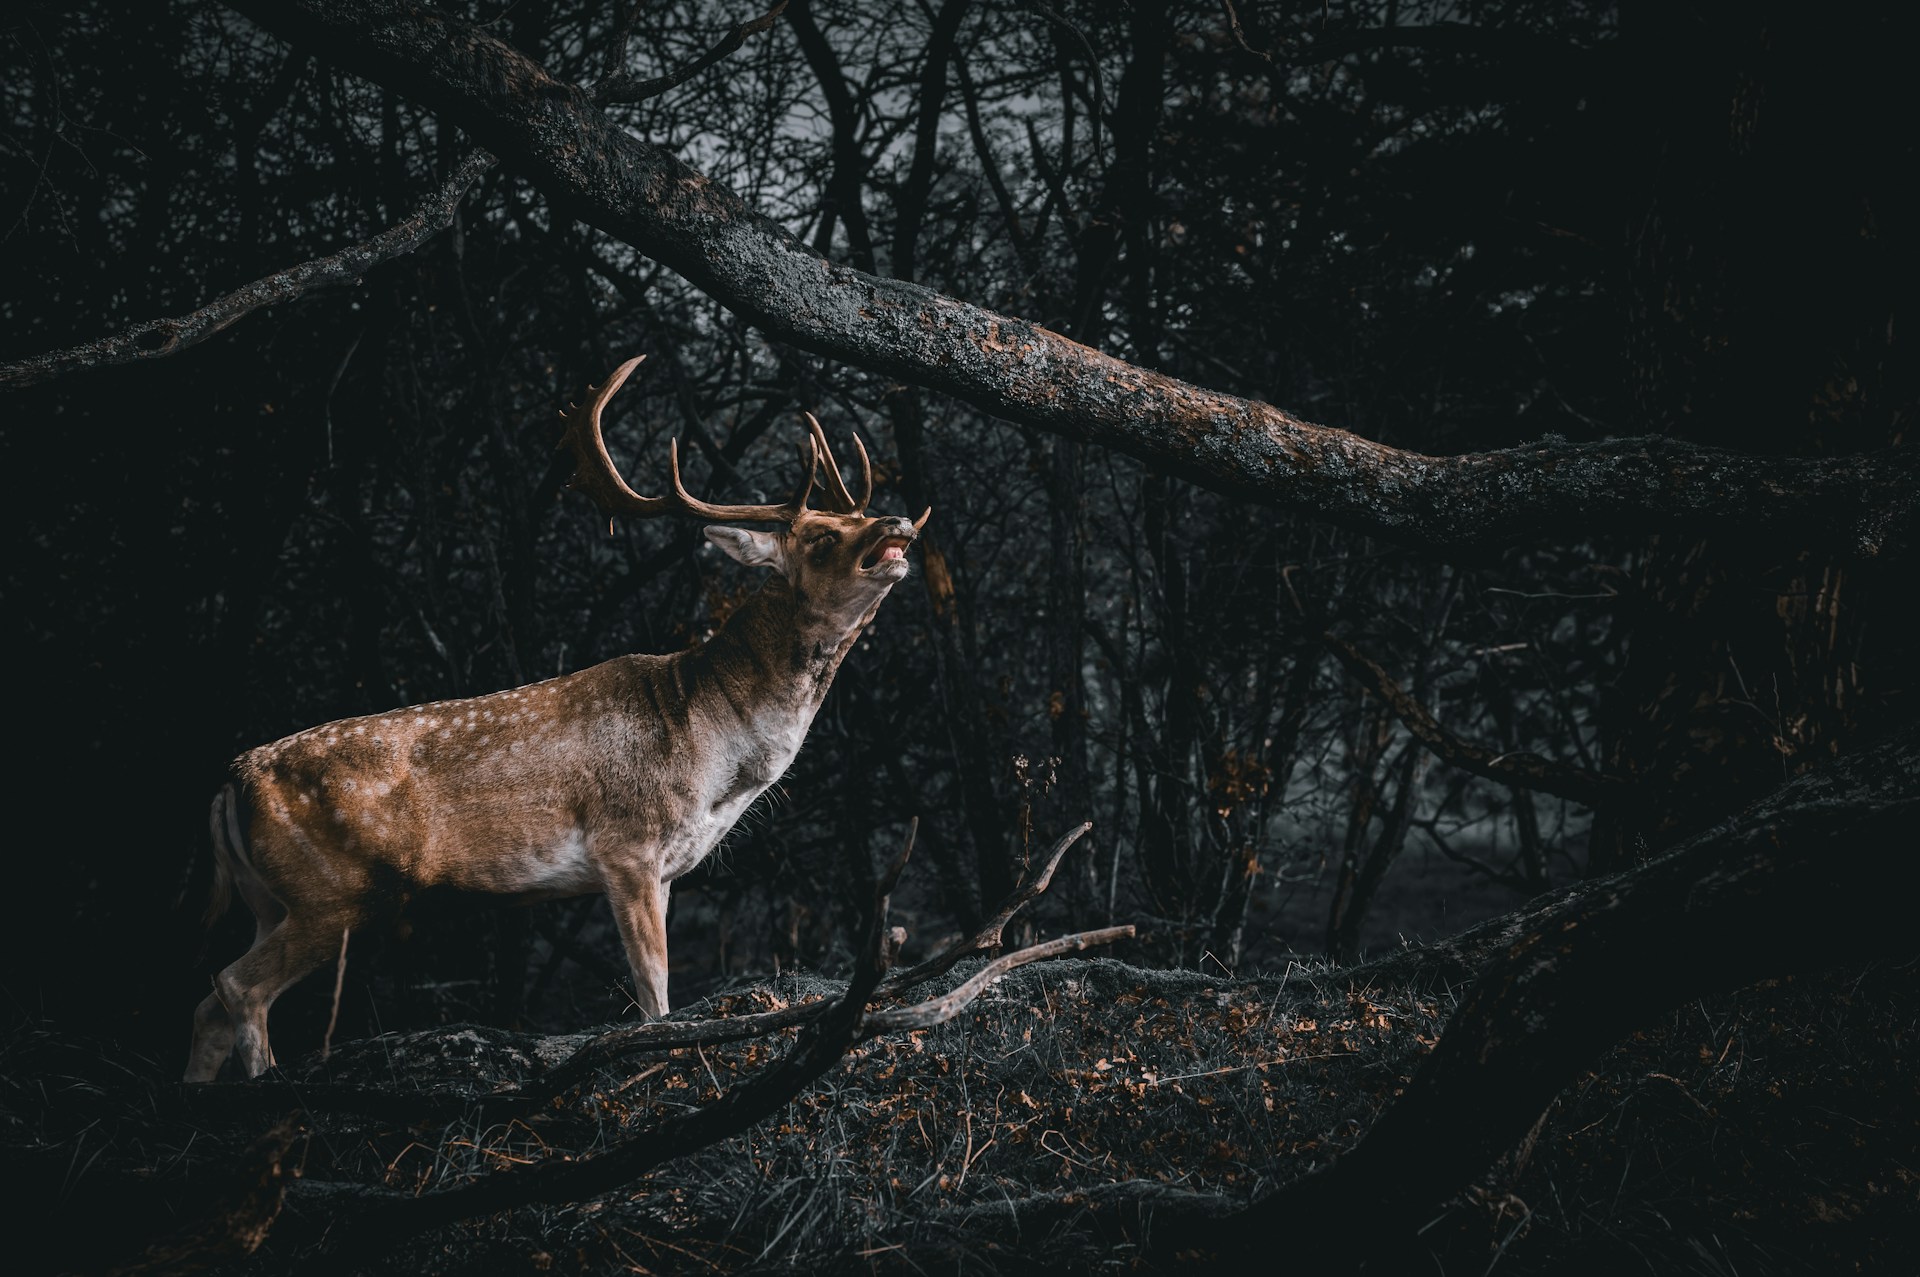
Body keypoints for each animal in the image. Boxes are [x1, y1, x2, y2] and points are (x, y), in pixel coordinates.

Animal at [185, 355, 928, 1082]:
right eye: (822, 535)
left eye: (858, 518)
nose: (897, 523)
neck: (711, 744)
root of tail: (232, 783)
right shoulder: (625, 842)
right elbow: (653, 993)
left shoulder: (667, 869)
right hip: (331, 891)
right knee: (237, 986)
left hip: (271, 899)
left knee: (207, 1005)